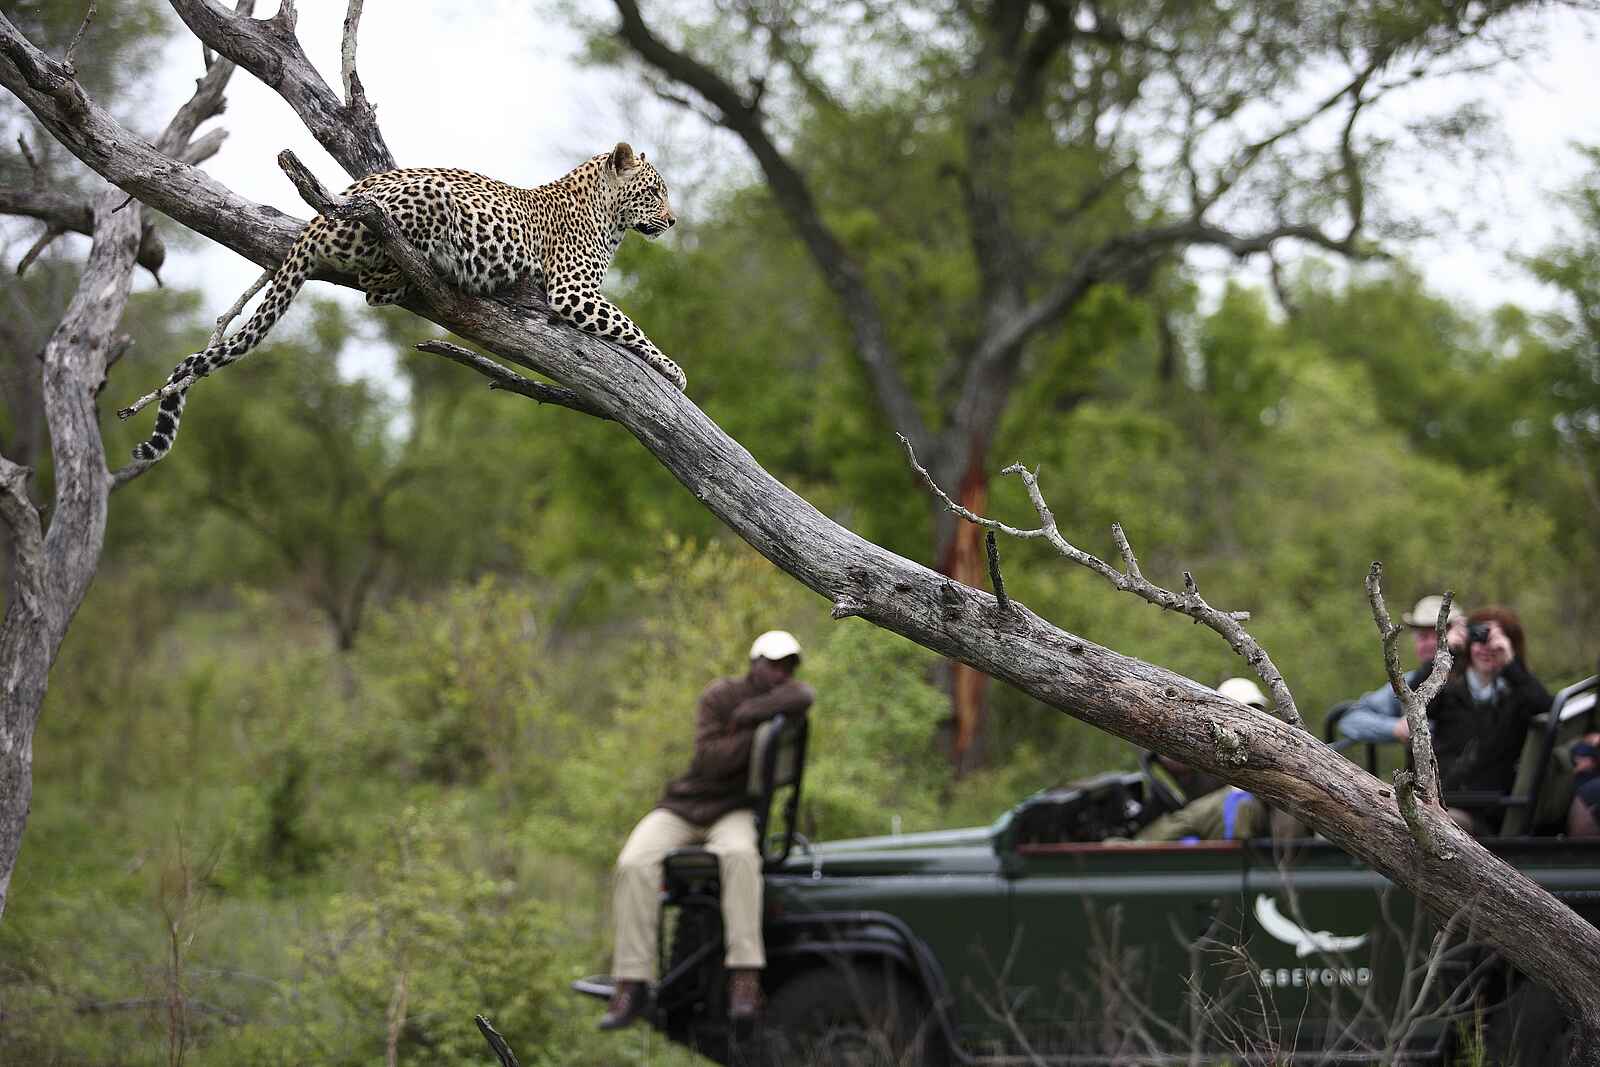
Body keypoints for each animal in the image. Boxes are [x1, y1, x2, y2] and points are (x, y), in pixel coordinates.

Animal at [120, 142, 683, 463]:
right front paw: (673, 370)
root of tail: (320, 217)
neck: (608, 217)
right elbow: (629, 325)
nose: (674, 220)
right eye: (654, 193)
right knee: (374, 280)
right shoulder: (573, 290)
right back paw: (421, 276)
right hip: (425, 205)